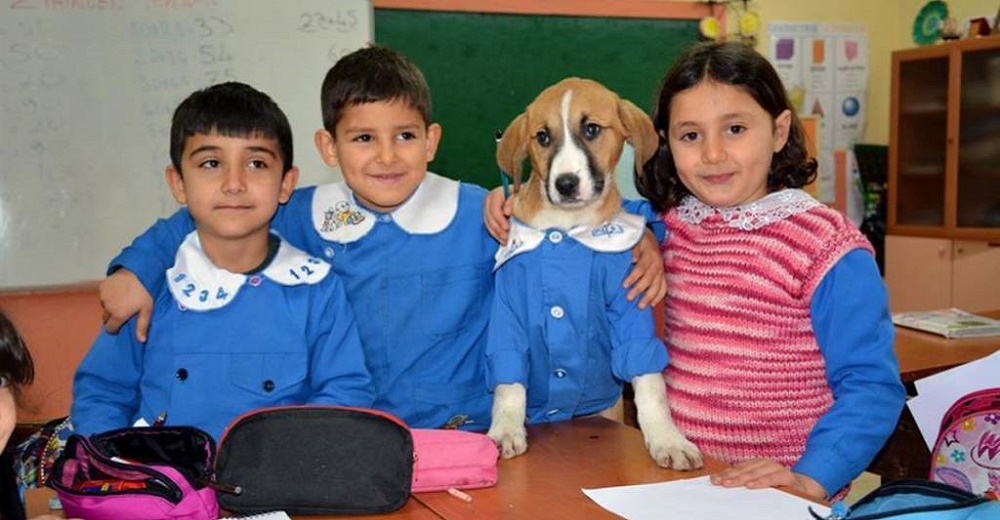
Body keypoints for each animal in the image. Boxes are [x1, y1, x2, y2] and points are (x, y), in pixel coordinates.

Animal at [486, 77, 704, 472]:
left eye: (591, 130)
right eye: (542, 137)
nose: (565, 183)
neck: (567, 229)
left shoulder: (630, 304)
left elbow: (650, 384)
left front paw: (668, 439)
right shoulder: (508, 309)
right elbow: (509, 383)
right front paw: (506, 430)